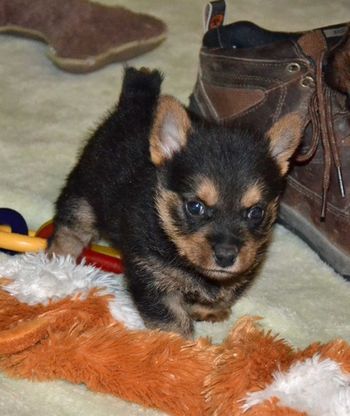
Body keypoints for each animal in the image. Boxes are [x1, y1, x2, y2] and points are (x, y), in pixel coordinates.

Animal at [49, 66, 304, 336]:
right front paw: (180, 345)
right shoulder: (152, 277)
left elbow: (227, 290)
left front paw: (209, 309)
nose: (226, 256)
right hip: (84, 193)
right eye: (195, 207)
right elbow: (172, 320)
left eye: (256, 212)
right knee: (70, 228)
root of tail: (135, 100)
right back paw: (58, 265)